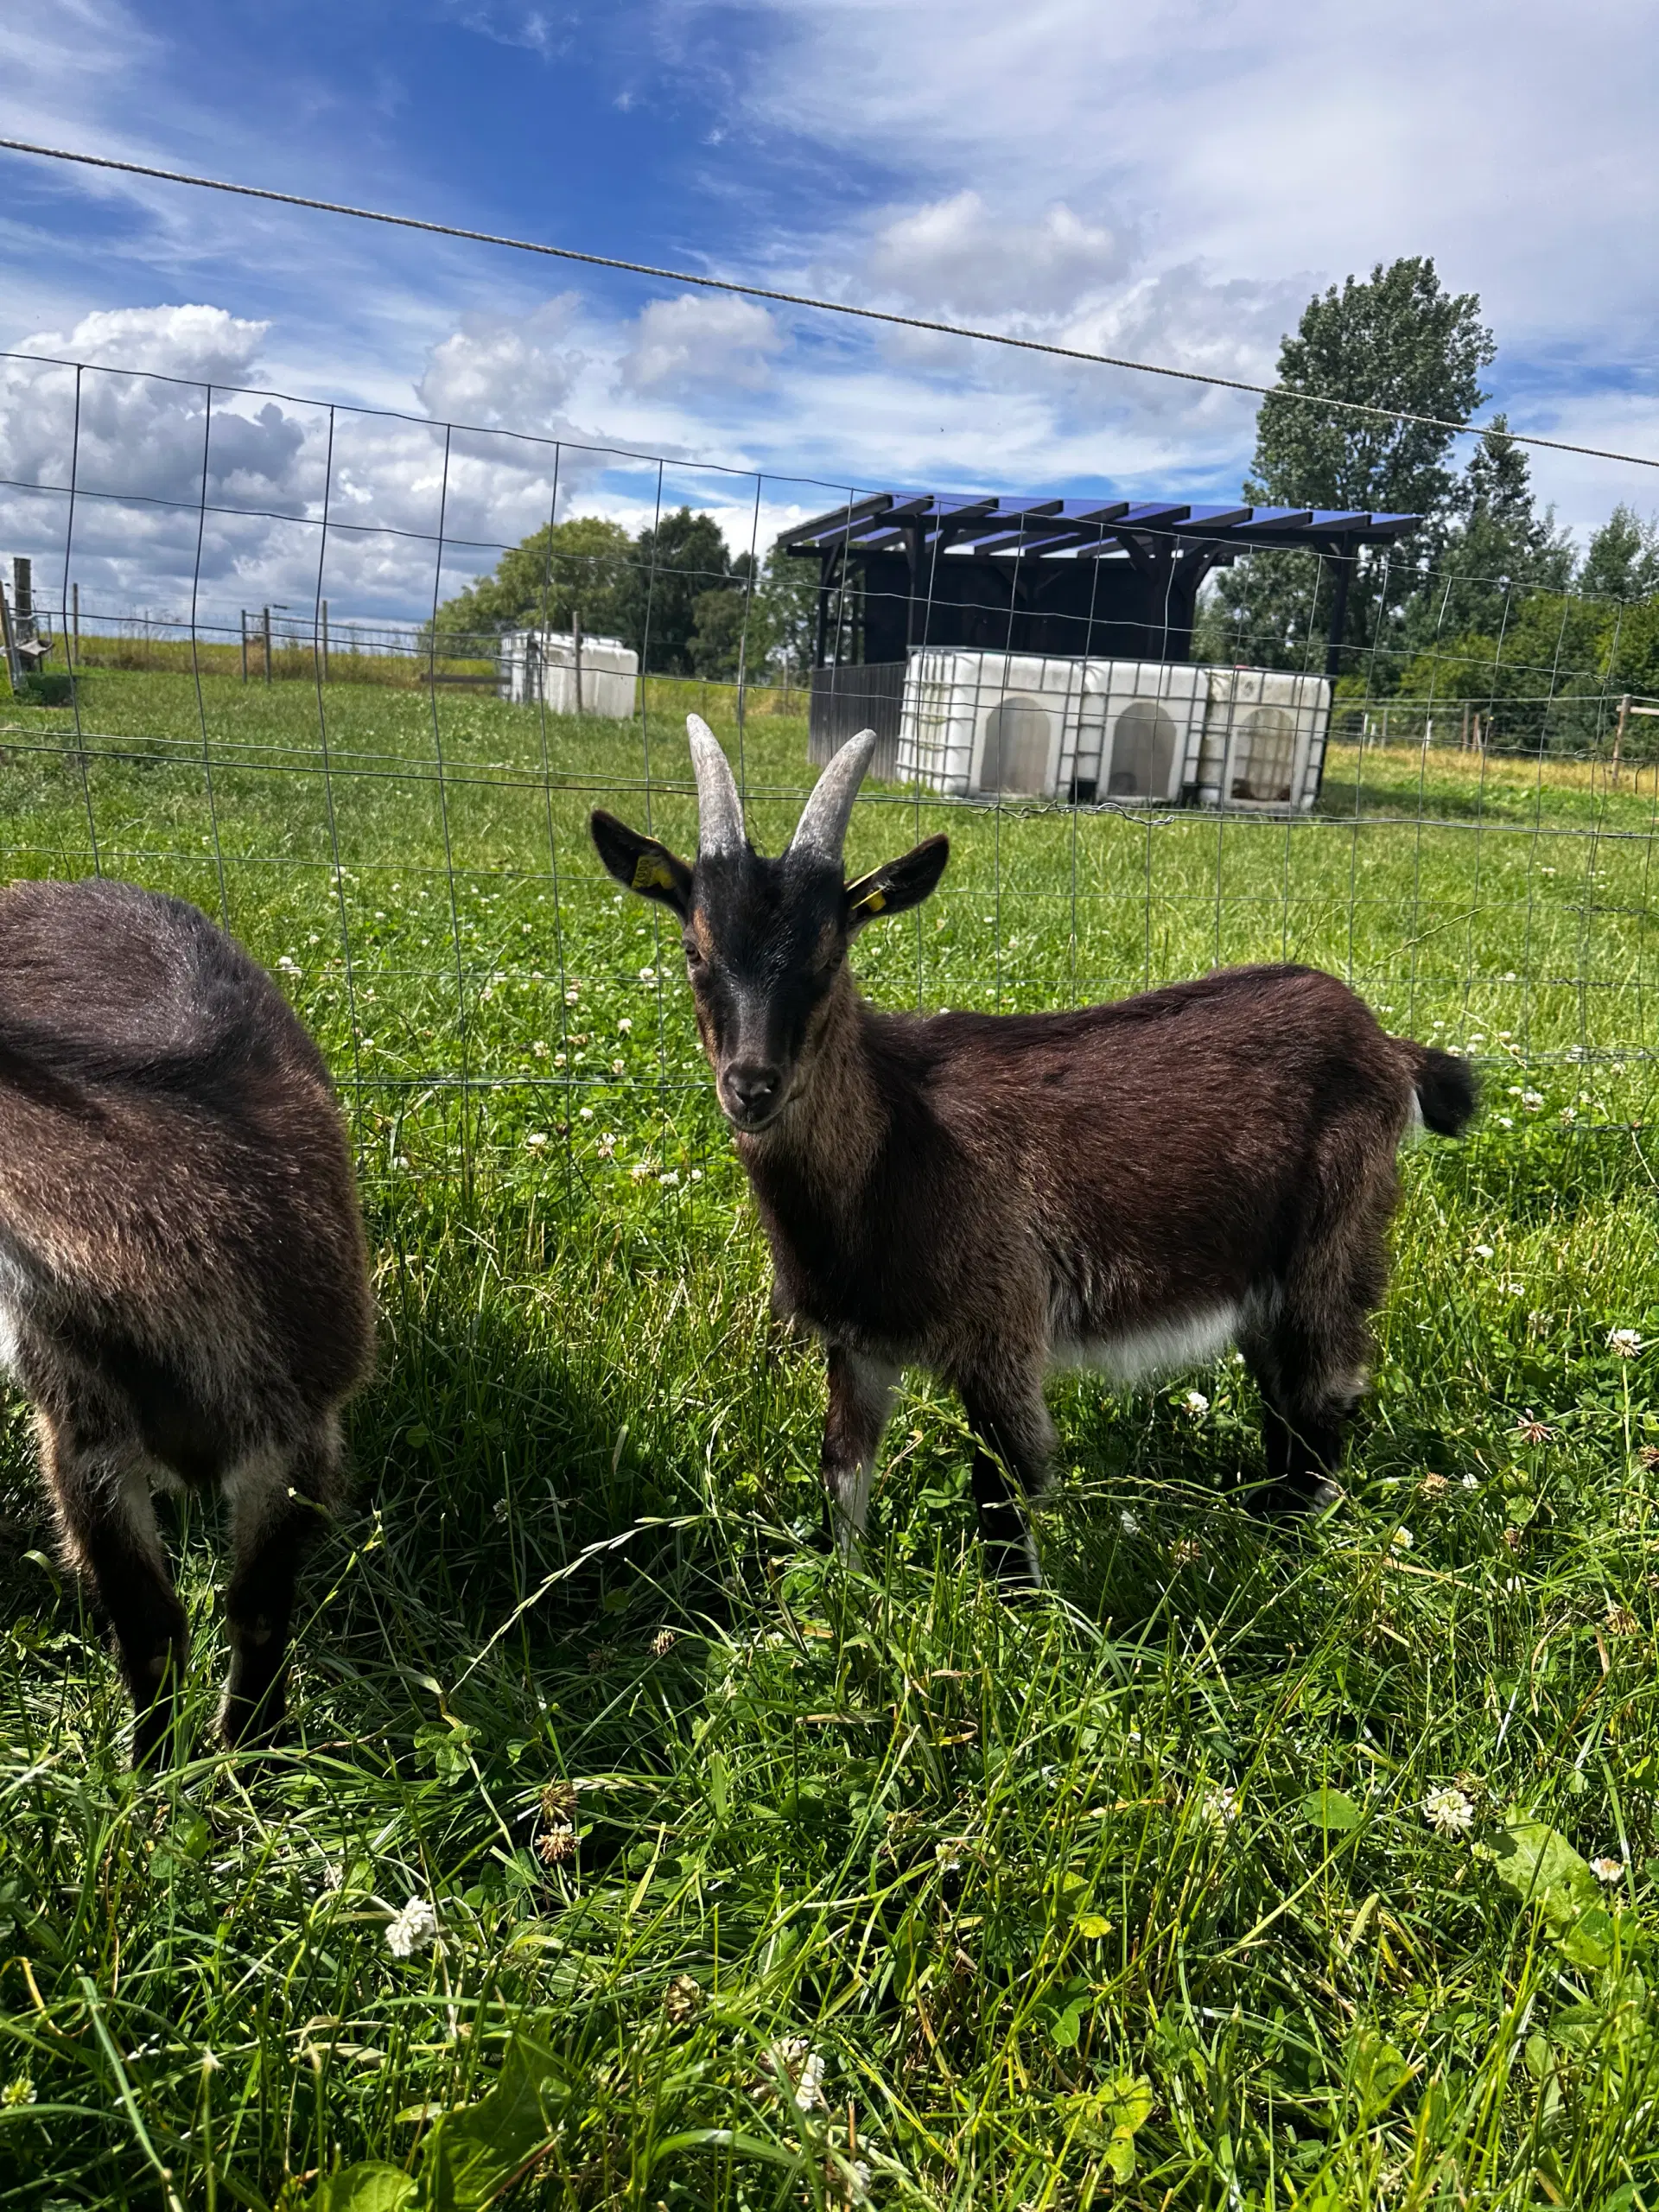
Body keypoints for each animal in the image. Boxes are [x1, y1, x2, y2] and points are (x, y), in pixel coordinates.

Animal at [0, 880, 373, 1760]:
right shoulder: (82, 1439)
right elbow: (147, 1624)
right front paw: (155, 1771)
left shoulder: (300, 1432)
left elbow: (258, 1608)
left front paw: (251, 1755)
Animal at [593, 725, 1478, 1592]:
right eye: (694, 949)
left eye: (830, 953)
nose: (751, 1086)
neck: (899, 1144)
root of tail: (1387, 1044)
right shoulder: (858, 1341)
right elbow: (843, 1471)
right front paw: (845, 1607)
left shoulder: (1002, 1329)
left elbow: (1003, 1495)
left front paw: (1016, 1621)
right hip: (1261, 1276)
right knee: (1286, 1401)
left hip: (1334, 1241)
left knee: (1327, 1395)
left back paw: (1289, 1558)